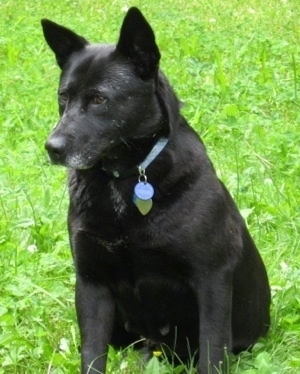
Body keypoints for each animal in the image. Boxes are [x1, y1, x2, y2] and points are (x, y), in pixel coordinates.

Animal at [41, 6, 270, 374]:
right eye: (64, 96)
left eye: (99, 98)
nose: (52, 148)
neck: (124, 179)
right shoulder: (91, 283)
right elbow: (91, 354)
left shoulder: (212, 280)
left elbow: (212, 350)